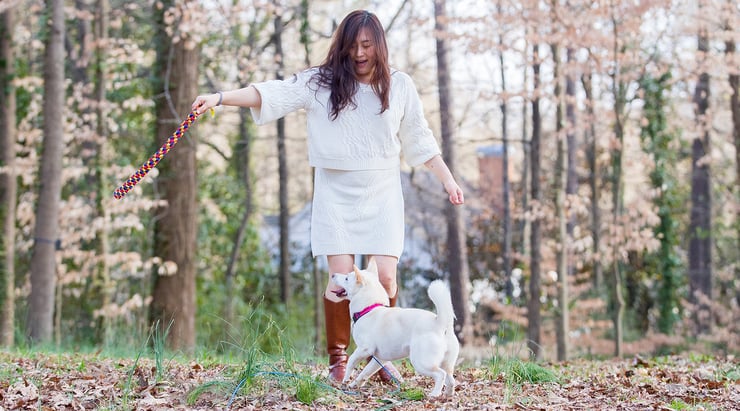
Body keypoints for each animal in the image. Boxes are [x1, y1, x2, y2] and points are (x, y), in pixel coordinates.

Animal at [330, 260, 456, 398]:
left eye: (347, 278)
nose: (333, 275)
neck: (369, 309)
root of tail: (440, 323)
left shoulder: (364, 349)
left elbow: (351, 361)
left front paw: (346, 380)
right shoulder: (379, 359)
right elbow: (366, 372)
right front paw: (355, 384)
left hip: (421, 363)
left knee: (440, 374)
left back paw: (435, 394)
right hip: (447, 363)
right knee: (451, 379)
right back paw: (448, 394)